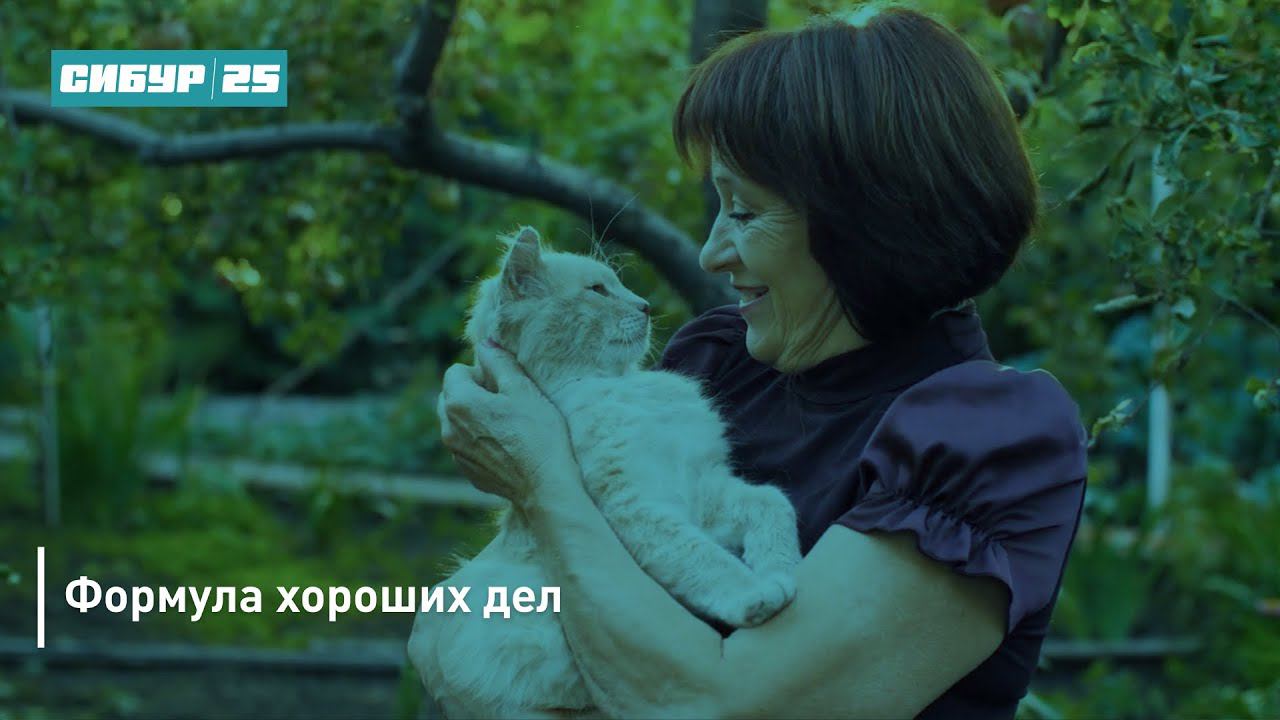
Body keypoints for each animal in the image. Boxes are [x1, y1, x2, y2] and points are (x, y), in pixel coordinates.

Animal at [407, 226, 802, 719]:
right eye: (598, 290)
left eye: (619, 285)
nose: (646, 306)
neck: (616, 385)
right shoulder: (638, 505)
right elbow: (705, 559)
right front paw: (757, 594)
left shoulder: (703, 487)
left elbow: (772, 504)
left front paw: (781, 571)